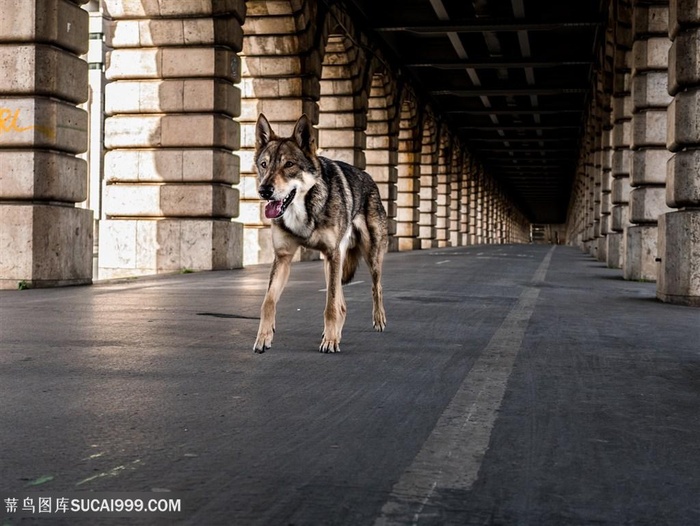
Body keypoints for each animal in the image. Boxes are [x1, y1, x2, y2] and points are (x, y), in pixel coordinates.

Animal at [252, 114, 388, 354]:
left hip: (368, 256)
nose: (264, 191)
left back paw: (378, 319)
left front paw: (331, 341)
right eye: (264, 165)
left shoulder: (332, 254)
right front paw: (263, 338)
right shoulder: (283, 258)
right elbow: (267, 302)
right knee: (343, 305)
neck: (303, 211)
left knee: (376, 287)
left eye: (289, 164)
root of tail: (369, 177)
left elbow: (330, 305)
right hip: (331, 262)